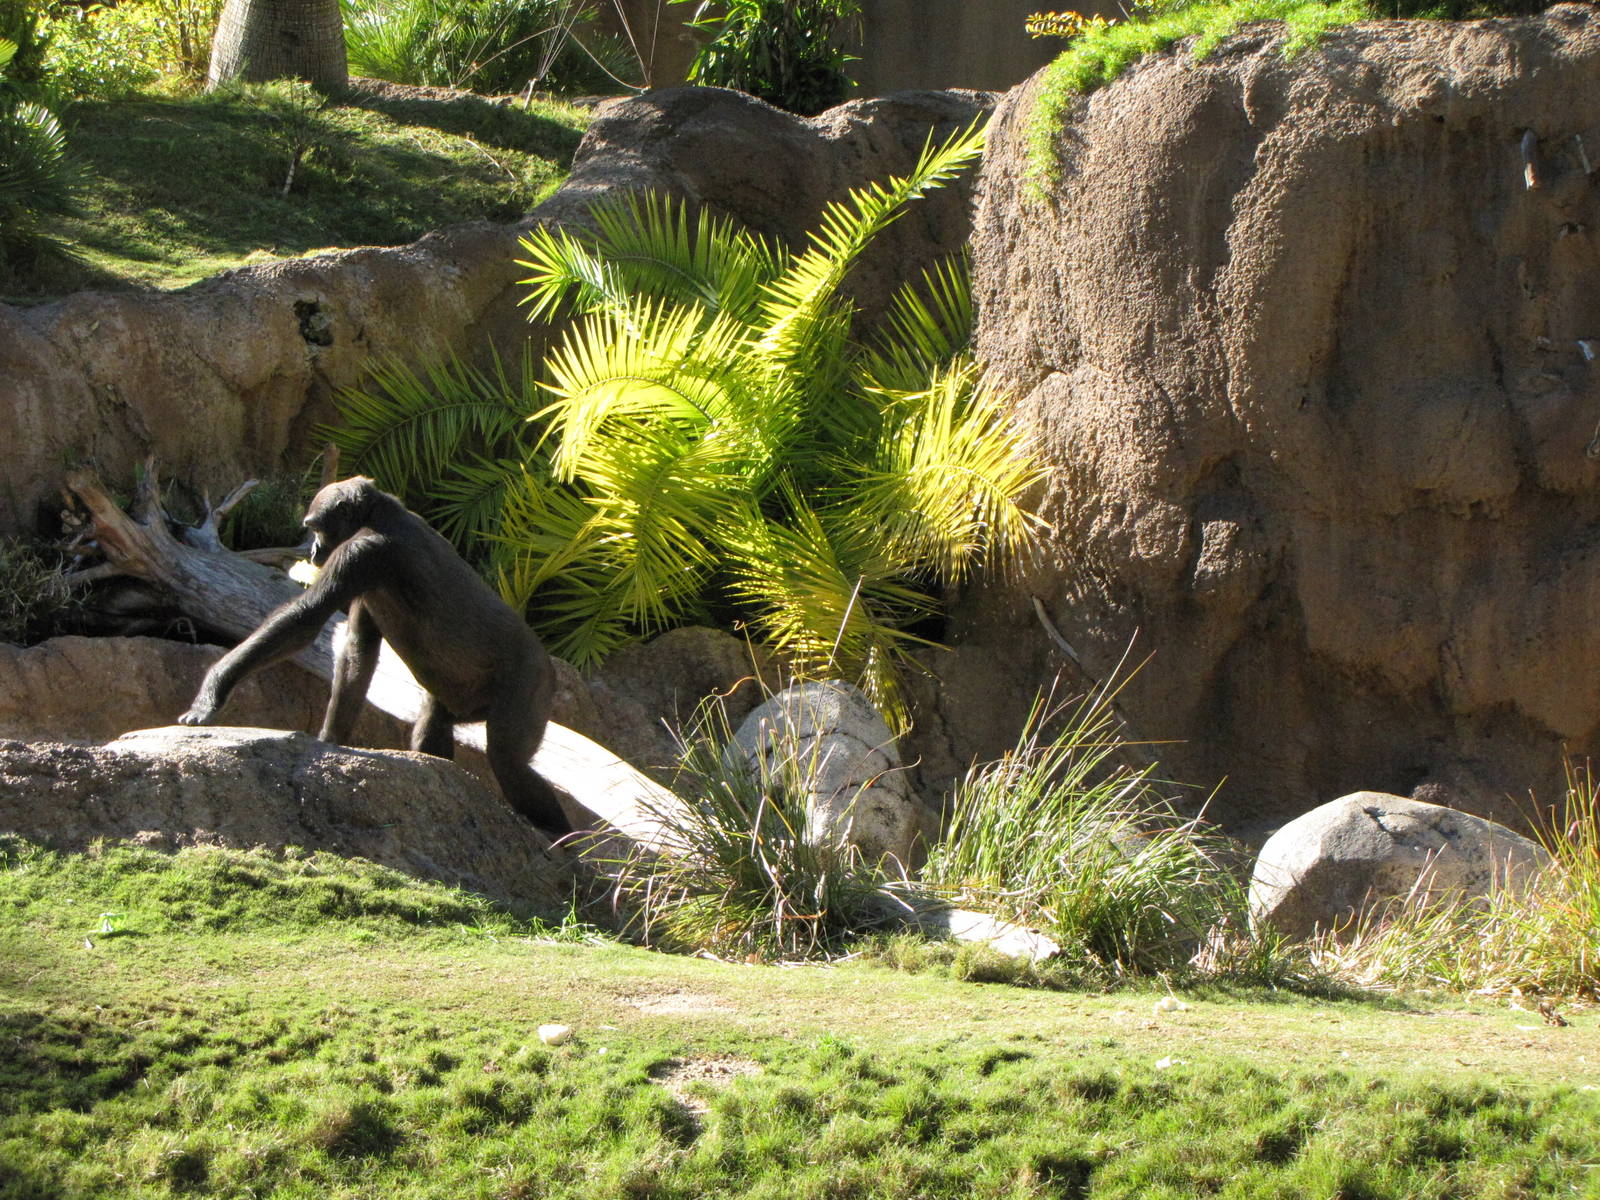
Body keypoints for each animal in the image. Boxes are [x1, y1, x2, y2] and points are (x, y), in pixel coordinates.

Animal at [178, 476, 573, 839]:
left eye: (315, 528)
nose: (313, 551)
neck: (383, 513)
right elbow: (357, 651)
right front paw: (331, 739)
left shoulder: (361, 553)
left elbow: (304, 621)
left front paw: (213, 689)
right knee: (433, 727)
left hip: (533, 681)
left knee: (508, 761)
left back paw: (557, 835)